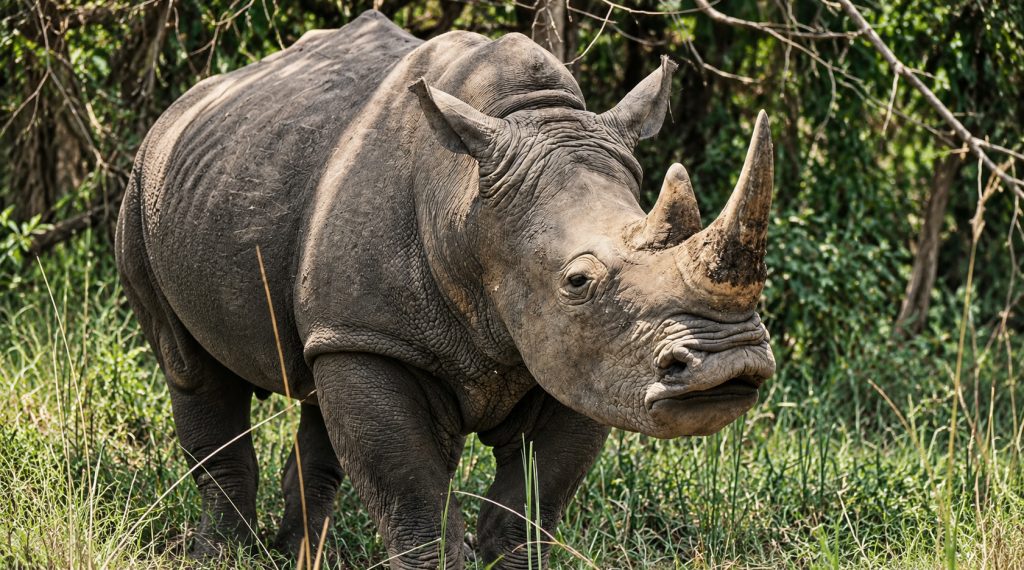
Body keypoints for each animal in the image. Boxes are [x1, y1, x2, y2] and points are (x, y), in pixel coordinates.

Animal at [115, 10, 776, 568]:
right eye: (578, 280)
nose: (729, 363)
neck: (470, 200)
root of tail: (183, 104)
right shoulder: (377, 336)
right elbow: (414, 499)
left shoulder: (582, 359)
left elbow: (530, 506)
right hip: (144, 188)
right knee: (191, 371)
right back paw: (220, 555)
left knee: (316, 385)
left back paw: (299, 555)